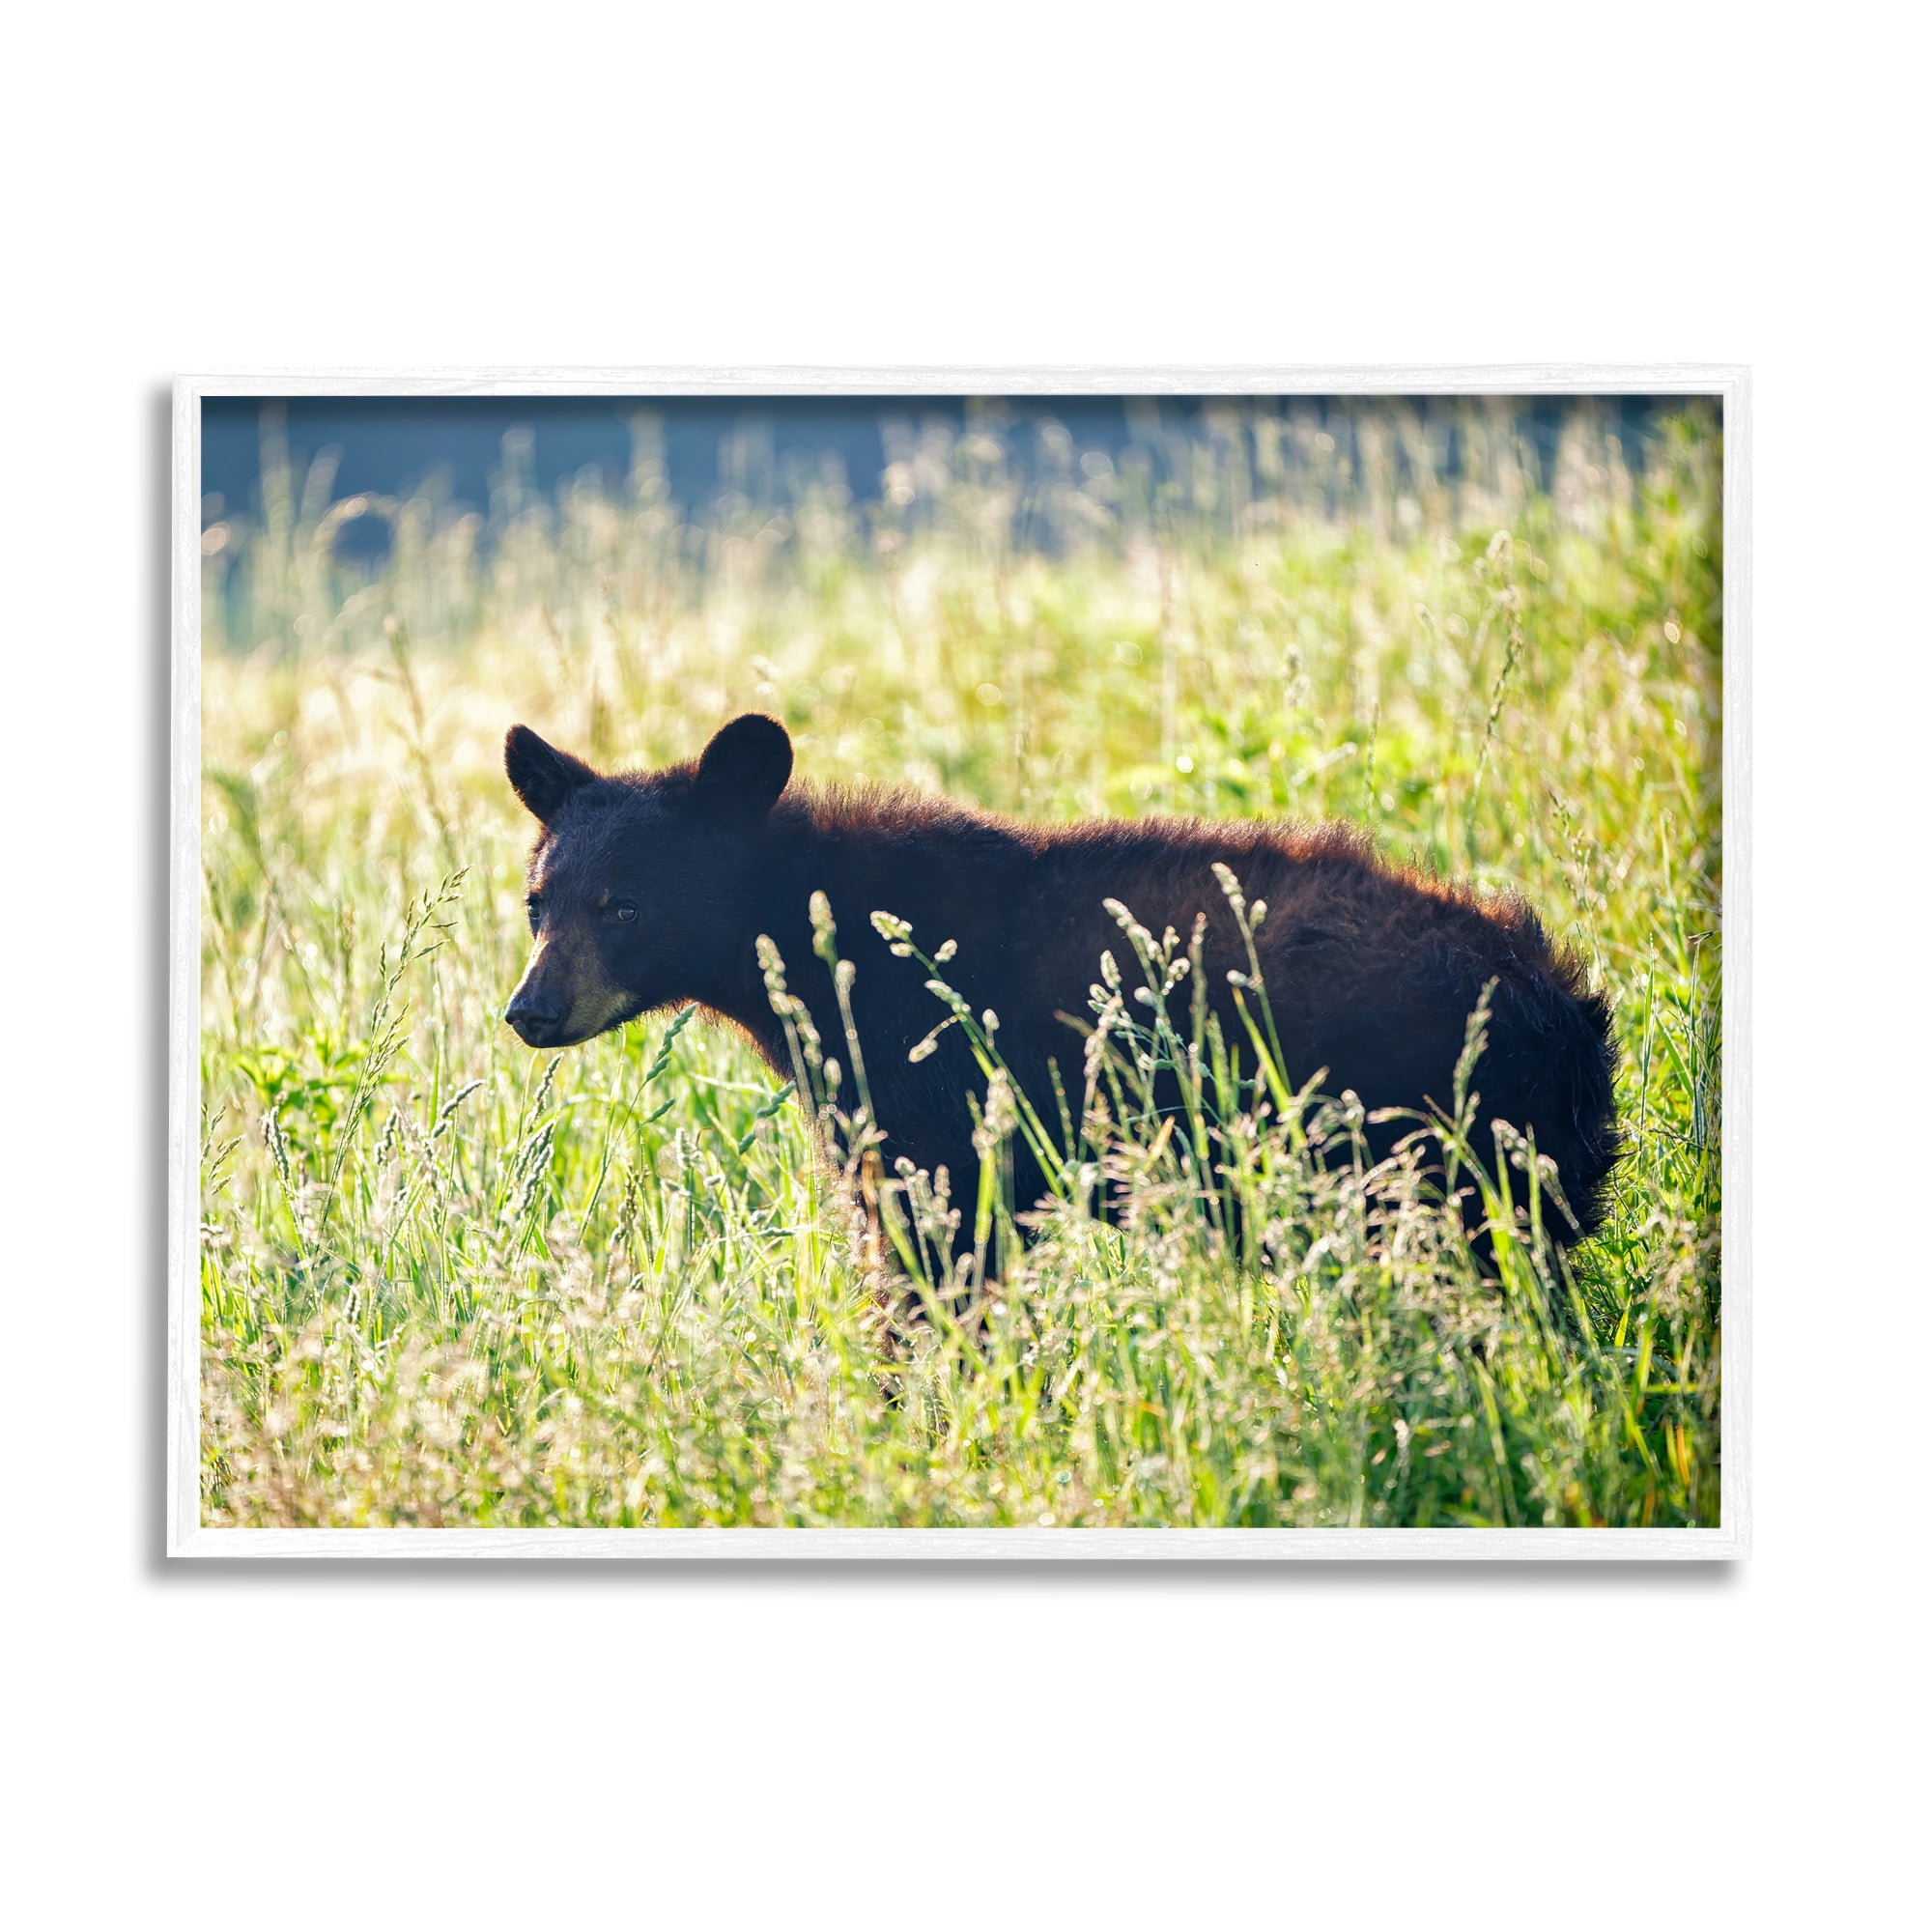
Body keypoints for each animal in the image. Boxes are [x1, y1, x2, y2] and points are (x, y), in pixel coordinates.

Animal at [502, 712, 1620, 1258]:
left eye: (625, 906)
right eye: (536, 900)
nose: (530, 1011)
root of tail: (1557, 1007)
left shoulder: (937, 1099)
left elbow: (937, 1257)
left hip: (1418, 1145)